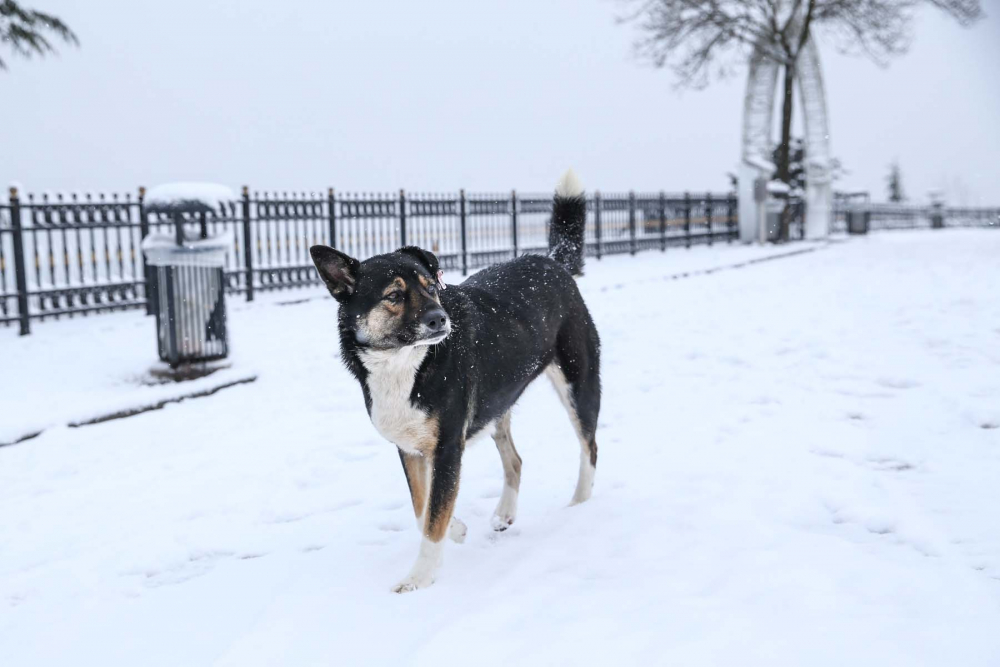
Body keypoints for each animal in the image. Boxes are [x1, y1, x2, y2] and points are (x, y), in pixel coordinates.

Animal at [308, 172, 600, 596]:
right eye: (394, 295)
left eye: (431, 286)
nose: (440, 319)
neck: (406, 363)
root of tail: (551, 262)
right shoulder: (410, 449)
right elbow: (423, 507)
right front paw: (458, 530)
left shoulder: (448, 447)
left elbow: (433, 516)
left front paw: (419, 578)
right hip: (497, 404)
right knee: (515, 459)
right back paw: (505, 513)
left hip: (579, 385)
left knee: (589, 448)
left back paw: (578, 507)